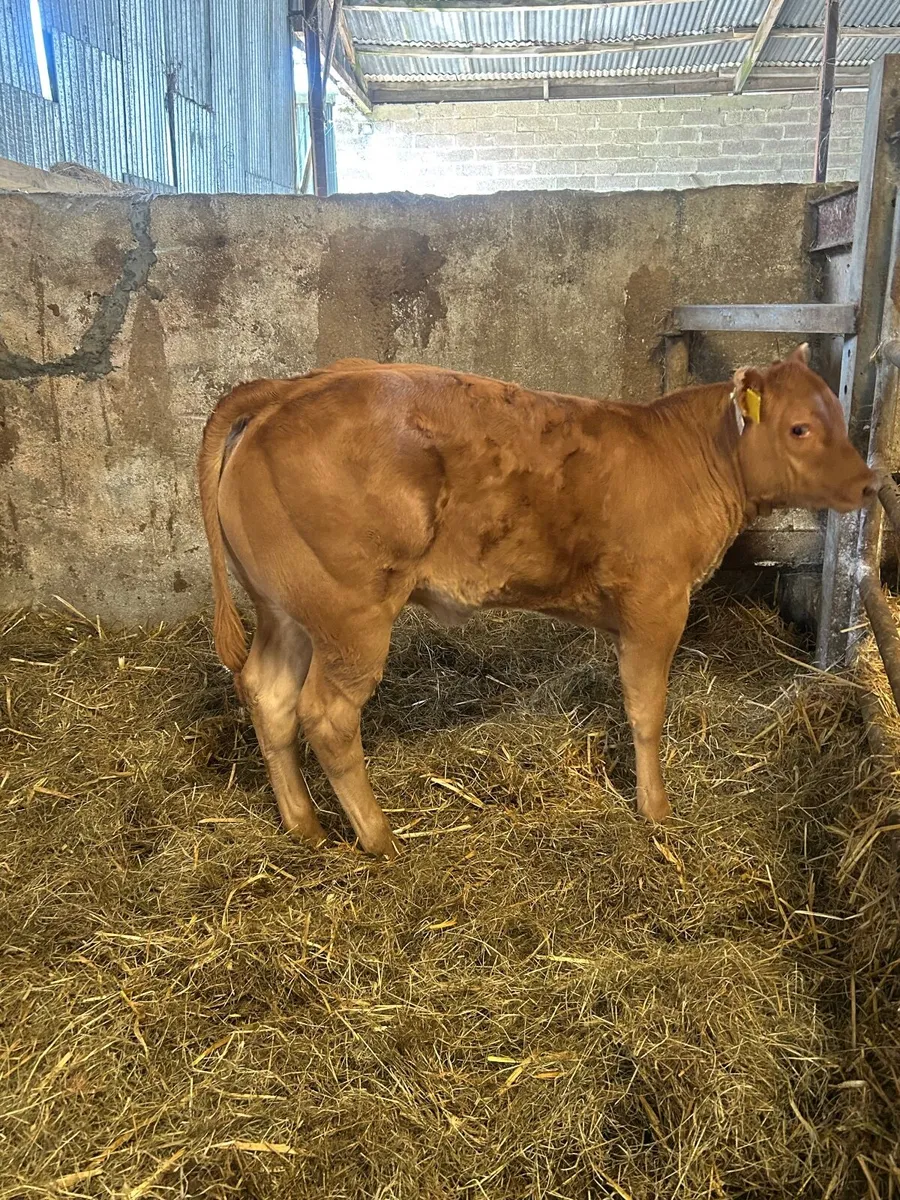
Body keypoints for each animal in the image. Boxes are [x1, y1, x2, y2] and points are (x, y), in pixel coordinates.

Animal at [198, 347, 875, 858]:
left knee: (268, 693)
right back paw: (380, 838)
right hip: (351, 615)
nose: (870, 484)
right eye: (799, 428)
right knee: (327, 716)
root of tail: (289, 388)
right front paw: (656, 810)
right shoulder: (656, 600)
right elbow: (647, 711)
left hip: (286, 610)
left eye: (839, 416)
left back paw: (305, 827)